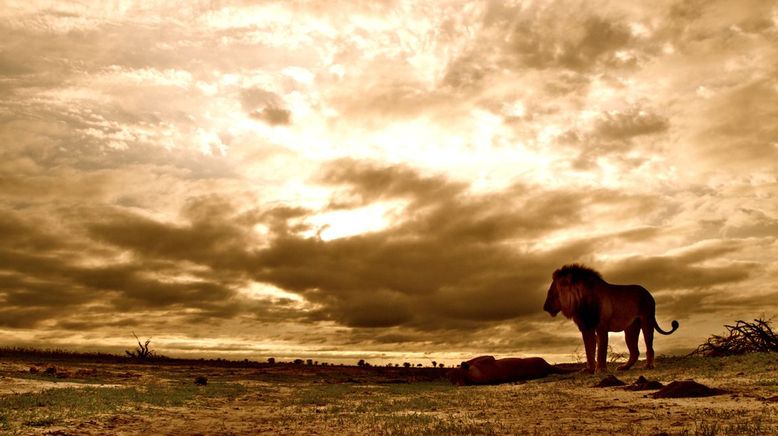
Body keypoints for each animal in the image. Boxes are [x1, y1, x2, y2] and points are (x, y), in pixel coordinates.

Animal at [544, 264, 676, 372]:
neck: (580, 302)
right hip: (630, 329)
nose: (545, 307)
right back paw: (624, 367)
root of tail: (649, 293)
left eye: (551, 293)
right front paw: (589, 369)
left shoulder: (601, 327)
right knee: (635, 352)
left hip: (647, 321)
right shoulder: (586, 328)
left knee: (649, 347)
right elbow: (589, 350)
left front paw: (601, 369)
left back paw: (649, 366)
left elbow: (601, 349)